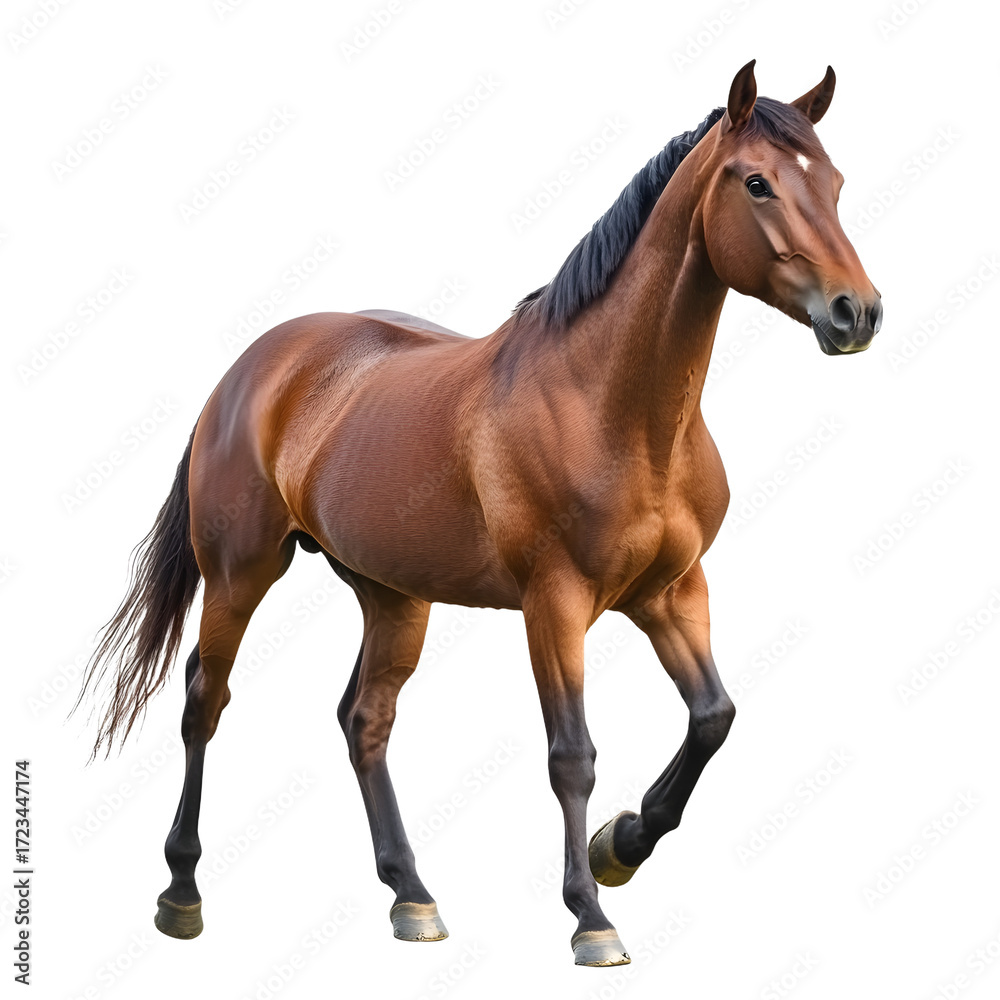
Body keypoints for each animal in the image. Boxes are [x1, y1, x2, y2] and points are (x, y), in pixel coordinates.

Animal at [76, 60, 881, 967]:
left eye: (835, 182)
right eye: (757, 183)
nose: (857, 312)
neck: (612, 408)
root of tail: (247, 371)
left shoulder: (671, 593)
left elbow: (713, 718)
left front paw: (622, 845)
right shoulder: (554, 604)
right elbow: (572, 756)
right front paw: (590, 915)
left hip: (394, 595)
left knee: (365, 719)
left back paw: (412, 897)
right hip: (241, 573)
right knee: (204, 703)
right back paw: (181, 893)